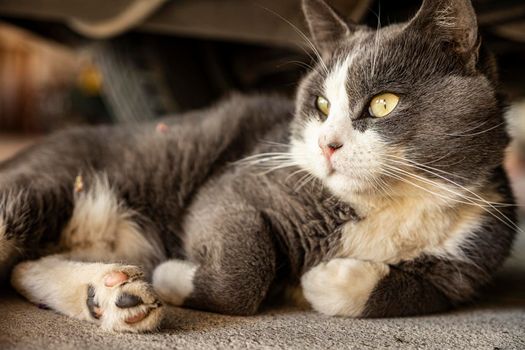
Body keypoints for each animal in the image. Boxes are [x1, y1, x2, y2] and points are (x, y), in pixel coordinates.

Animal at [0, 0, 516, 334]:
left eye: (383, 103)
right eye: (321, 105)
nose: (327, 145)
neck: (391, 203)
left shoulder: (471, 258)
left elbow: (415, 293)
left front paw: (327, 280)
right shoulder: (241, 183)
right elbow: (243, 269)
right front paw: (171, 275)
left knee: (20, 268)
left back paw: (112, 295)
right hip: (50, 186)